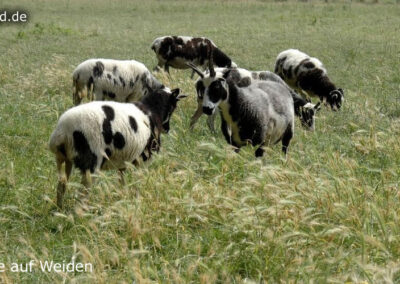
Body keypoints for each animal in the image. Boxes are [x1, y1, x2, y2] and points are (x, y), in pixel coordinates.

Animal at [49, 87, 187, 207]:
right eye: (174, 105)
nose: (167, 129)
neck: (153, 111)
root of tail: (63, 131)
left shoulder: (123, 162)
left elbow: (122, 182)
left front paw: (124, 199)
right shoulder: (143, 159)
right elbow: (138, 182)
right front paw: (138, 200)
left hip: (64, 159)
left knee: (61, 185)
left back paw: (59, 209)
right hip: (92, 162)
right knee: (84, 192)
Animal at [189, 67, 320, 131]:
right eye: (308, 114)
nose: (311, 130)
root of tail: (201, 78)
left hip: (201, 104)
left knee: (193, 119)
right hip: (213, 106)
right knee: (209, 121)